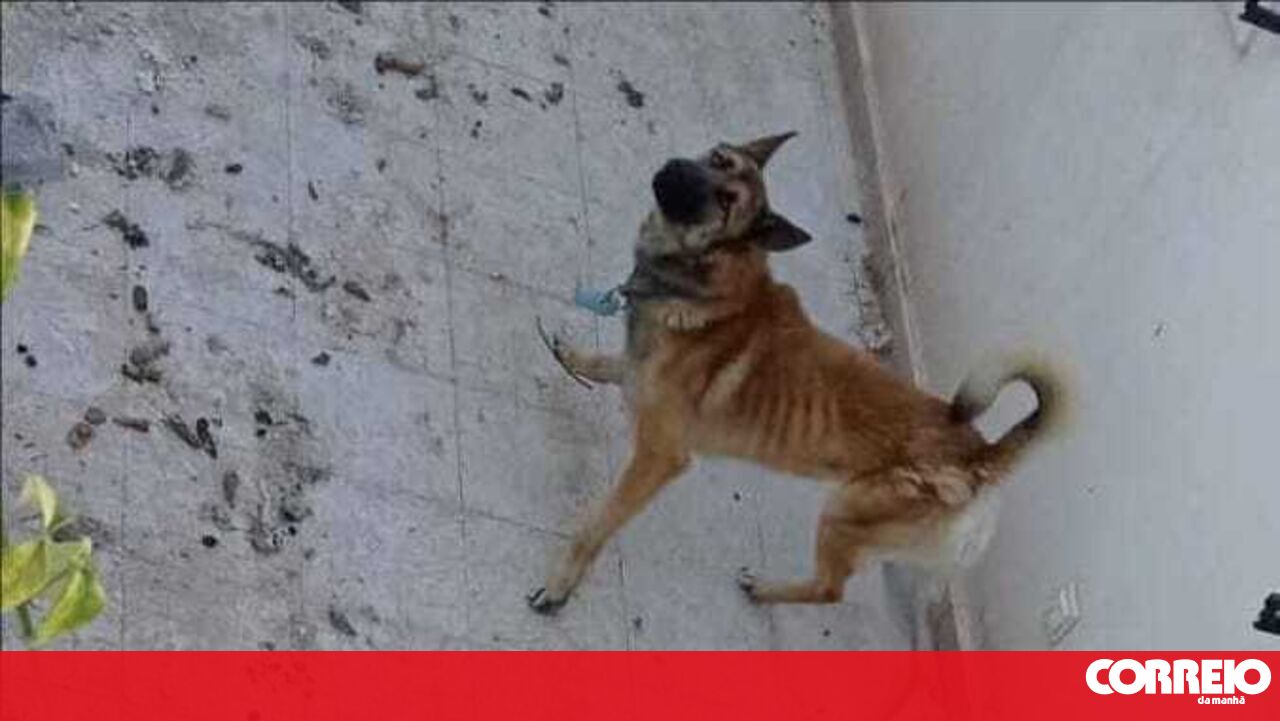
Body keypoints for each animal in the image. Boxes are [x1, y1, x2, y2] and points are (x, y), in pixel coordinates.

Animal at [527, 132, 1063, 613]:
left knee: (831, 590)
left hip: (842, 514)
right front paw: (575, 357)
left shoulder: (659, 458)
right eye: (717, 158)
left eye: (726, 201)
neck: (708, 286)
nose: (675, 167)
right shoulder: (642, 374)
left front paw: (560, 585)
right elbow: (614, 365)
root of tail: (980, 455)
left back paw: (767, 590)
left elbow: (595, 526)